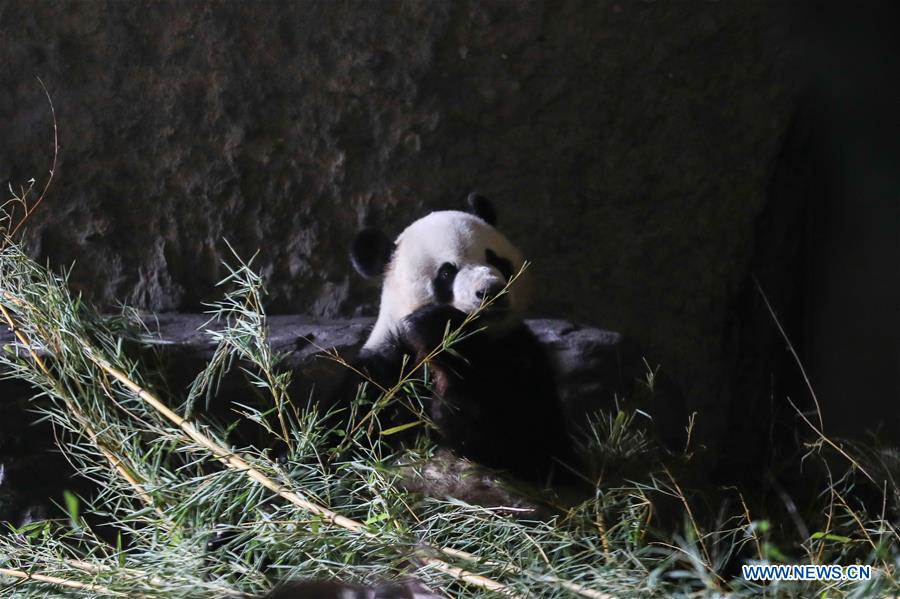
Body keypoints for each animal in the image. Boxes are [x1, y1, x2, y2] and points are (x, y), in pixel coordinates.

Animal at [344, 194, 577, 484]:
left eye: (497, 260)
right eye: (446, 273)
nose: (491, 291)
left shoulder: (524, 358)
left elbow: (530, 445)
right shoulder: (383, 373)